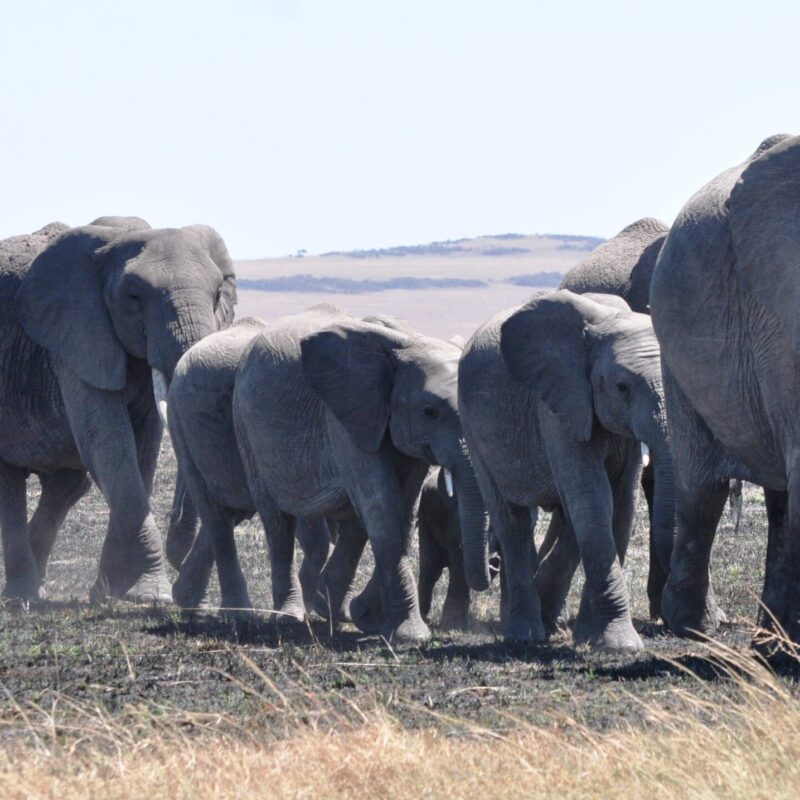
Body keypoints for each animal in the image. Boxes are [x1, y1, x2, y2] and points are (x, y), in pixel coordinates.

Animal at [0, 217, 236, 603]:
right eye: (134, 298)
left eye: (218, 295)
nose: (178, 551)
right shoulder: (76, 337)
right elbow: (109, 443)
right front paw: (150, 595)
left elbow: (142, 451)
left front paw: (109, 593)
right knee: (11, 483)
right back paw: (23, 598)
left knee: (67, 485)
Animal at [171, 305, 489, 643]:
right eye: (430, 412)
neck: (409, 342)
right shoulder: (346, 417)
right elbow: (382, 510)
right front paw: (409, 635)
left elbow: (400, 511)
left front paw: (364, 617)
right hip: (228, 426)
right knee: (258, 520)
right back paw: (266, 615)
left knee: (242, 515)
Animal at [459, 290, 675, 651]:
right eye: (622, 387)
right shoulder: (557, 404)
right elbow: (592, 496)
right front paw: (619, 645)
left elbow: (621, 502)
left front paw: (590, 635)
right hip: (473, 430)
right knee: (511, 519)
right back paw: (525, 634)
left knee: (562, 517)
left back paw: (548, 619)